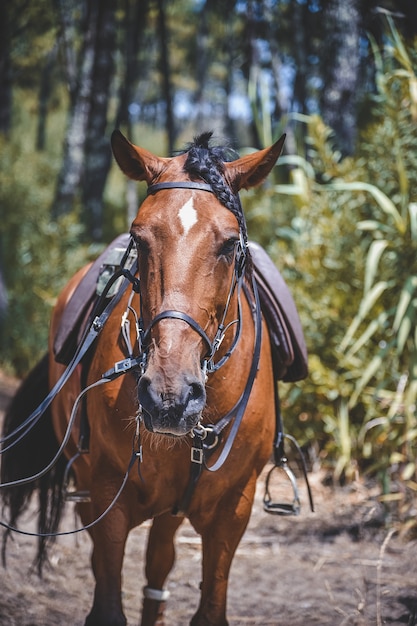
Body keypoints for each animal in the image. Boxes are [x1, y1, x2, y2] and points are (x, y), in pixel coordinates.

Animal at [1, 129, 286, 620]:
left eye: (230, 243)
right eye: (140, 236)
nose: (169, 397)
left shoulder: (234, 509)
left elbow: (208, 606)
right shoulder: (106, 495)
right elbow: (107, 599)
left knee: (159, 565)